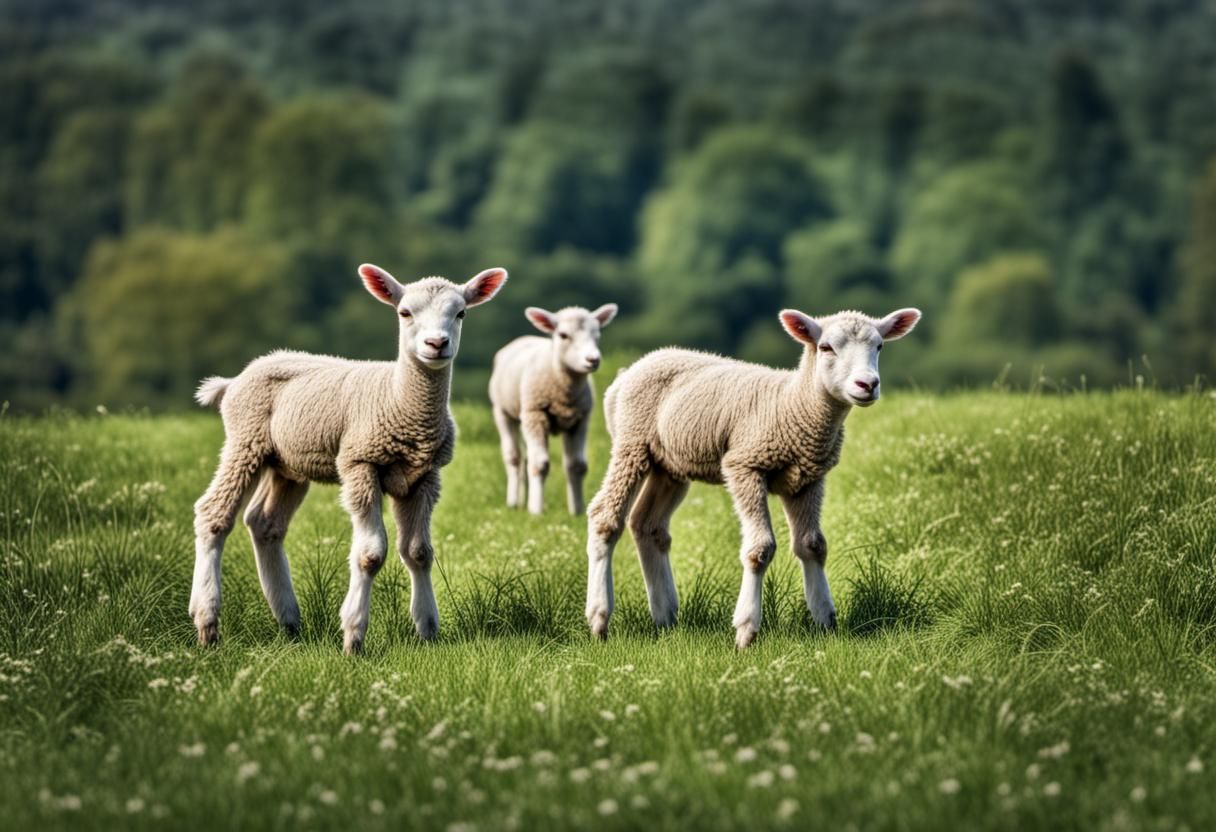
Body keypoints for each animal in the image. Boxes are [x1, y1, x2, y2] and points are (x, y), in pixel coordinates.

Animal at [189, 263, 508, 654]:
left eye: (461, 313)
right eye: (405, 313)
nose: (436, 344)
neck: (400, 402)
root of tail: (234, 380)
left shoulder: (424, 475)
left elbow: (419, 551)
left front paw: (428, 630)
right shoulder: (360, 462)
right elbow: (370, 554)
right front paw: (354, 636)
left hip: (286, 463)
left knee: (264, 524)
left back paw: (289, 621)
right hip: (245, 440)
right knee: (213, 514)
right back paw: (207, 623)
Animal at [488, 304, 618, 515]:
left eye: (597, 334)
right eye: (563, 335)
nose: (593, 360)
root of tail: (523, 338)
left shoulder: (580, 420)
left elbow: (577, 466)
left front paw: (577, 510)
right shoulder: (536, 414)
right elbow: (540, 463)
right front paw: (536, 510)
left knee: (526, 458)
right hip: (504, 412)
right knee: (514, 457)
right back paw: (514, 502)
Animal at [583, 306, 921, 648]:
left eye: (879, 346)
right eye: (826, 347)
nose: (867, 384)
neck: (793, 405)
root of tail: (628, 373)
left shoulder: (808, 479)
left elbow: (813, 545)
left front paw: (825, 621)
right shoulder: (745, 465)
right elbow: (761, 549)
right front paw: (746, 630)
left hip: (669, 465)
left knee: (647, 525)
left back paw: (665, 618)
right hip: (632, 443)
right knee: (605, 518)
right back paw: (599, 619)